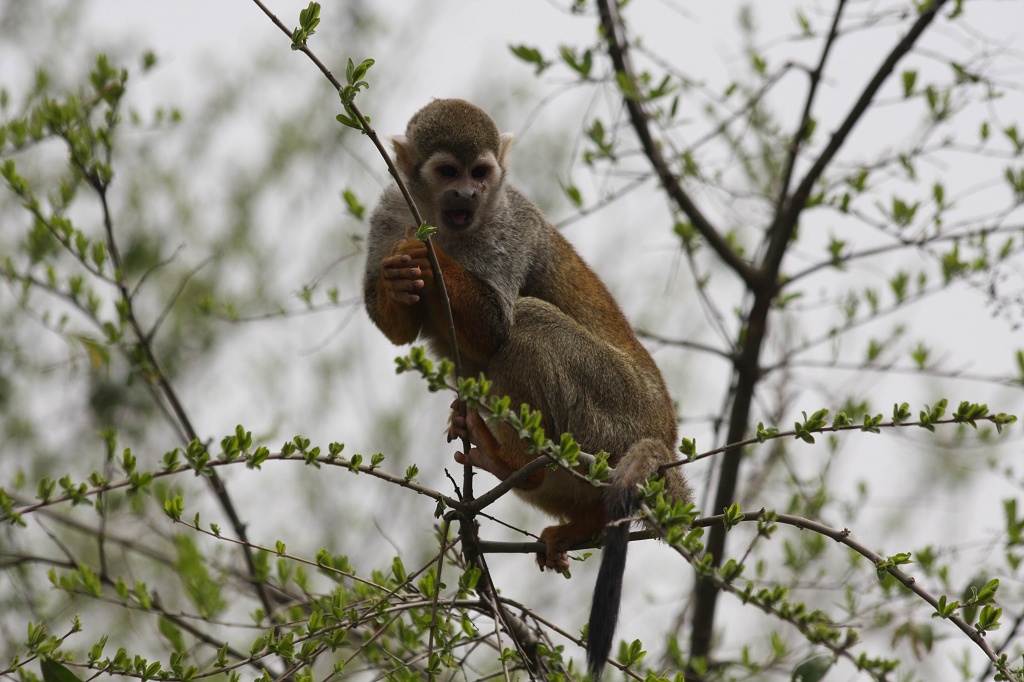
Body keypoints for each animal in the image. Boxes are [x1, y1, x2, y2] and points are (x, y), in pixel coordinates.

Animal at [364, 96, 692, 675]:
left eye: (480, 173)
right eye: (448, 173)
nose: (468, 196)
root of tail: (665, 437)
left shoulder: (508, 226)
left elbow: (496, 326)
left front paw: (432, 259)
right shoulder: (389, 210)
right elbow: (395, 327)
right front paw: (398, 276)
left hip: (612, 411)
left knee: (530, 321)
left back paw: (515, 462)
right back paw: (576, 515)